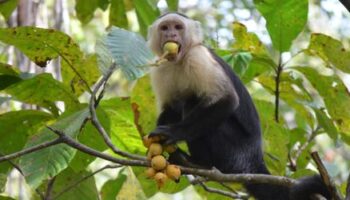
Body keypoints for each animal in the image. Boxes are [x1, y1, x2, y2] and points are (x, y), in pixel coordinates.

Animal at [147, 12, 330, 200]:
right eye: (165, 28)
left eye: (178, 27)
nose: (171, 35)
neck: (179, 60)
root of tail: (255, 160)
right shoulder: (160, 68)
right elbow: (170, 108)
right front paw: (155, 144)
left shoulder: (198, 57)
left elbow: (227, 100)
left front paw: (173, 132)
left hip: (235, 154)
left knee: (193, 101)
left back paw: (197, 162)